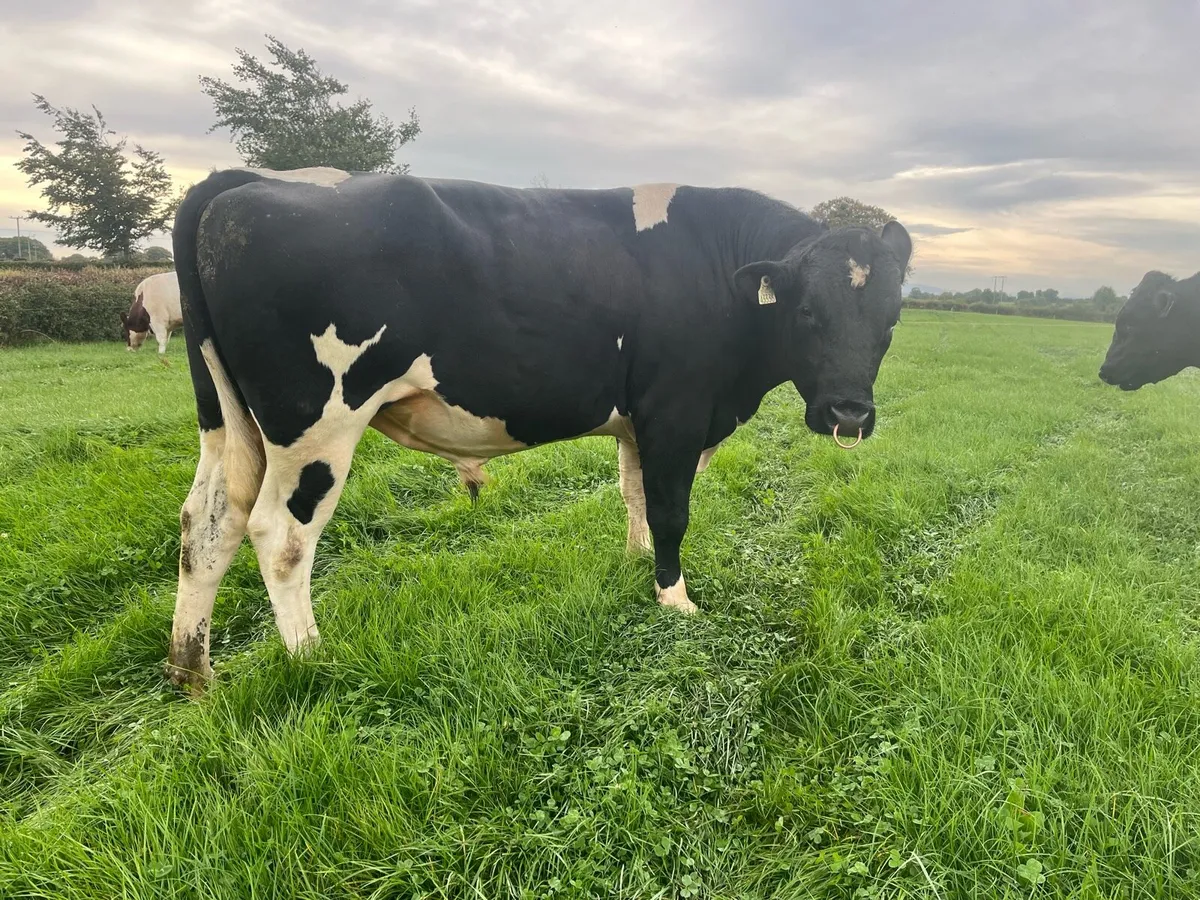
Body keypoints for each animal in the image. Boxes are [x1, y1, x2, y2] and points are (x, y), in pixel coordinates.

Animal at [164, 166, 912, 693]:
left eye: (891, 320)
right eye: (807, 312)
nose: (849, 415)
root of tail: (248, 181)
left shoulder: (637, 421)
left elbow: (634, 496)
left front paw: (637, 564)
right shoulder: (675, 410)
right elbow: (671, 509)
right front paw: (674, 597)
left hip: (226, 421)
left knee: (208, 521)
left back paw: (192, 669)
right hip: (319, 422)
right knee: (281, 534)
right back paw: (311, 657)